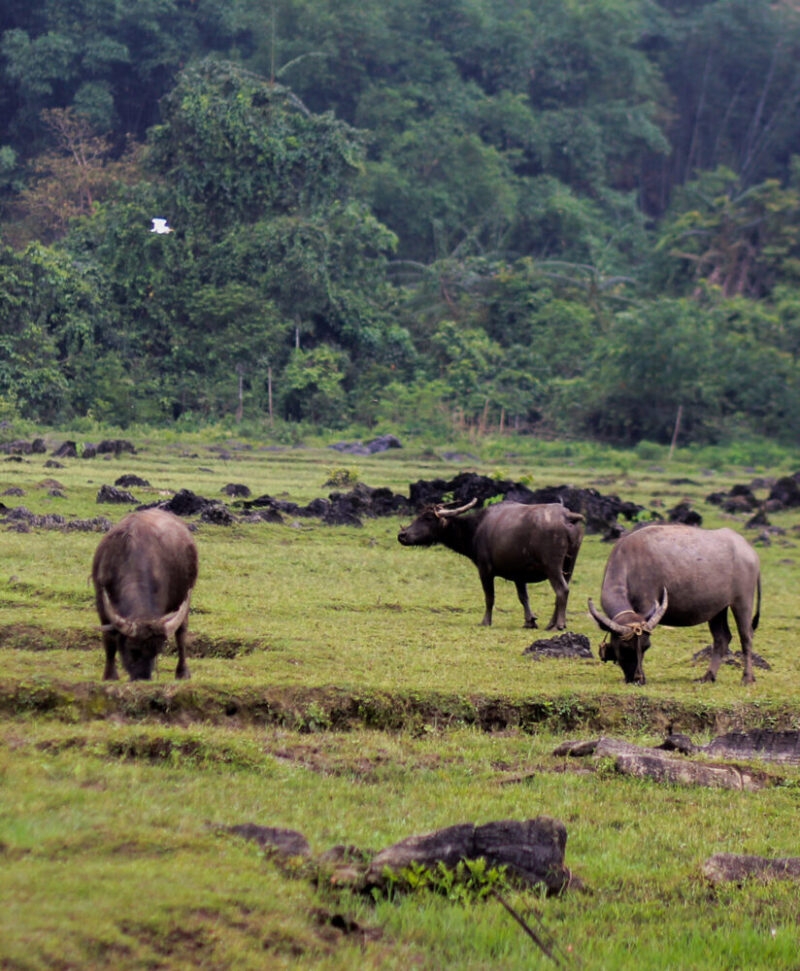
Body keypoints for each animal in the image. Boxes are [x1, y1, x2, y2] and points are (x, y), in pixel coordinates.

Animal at [92, 508, 199, 681]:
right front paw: (110, 676)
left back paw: (182, 673)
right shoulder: (101, 603)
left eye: (156, 651)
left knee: (181, 634)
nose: (143, 678)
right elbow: (109, 640)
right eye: (133, 649)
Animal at [398, 499, 584, 629]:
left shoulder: (485, 569)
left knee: (562, 590)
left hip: (552, 565)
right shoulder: (519, 574)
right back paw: (551, 624)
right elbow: (523, 597)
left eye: (428, 518)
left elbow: (490, 597)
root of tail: (567, 516)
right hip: (570, 564)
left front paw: (485, 621)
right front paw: (529, 621)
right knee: (562, 591)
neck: (476, 528)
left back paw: (559, 625)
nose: (402, 535)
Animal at [588, 523, 761, 685]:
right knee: (722, 638)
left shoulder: (646, 603)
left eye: (646, 646)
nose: (638, 679)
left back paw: (747, 678)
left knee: (746, 636)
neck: (629, 564)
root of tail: (750, 551)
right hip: (718, 609)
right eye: (625, 648)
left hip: (742, 601)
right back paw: (708, 676)